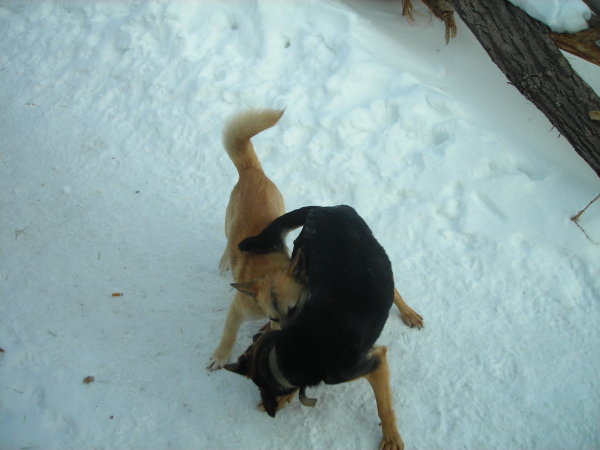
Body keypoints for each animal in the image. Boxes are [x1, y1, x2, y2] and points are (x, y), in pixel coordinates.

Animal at [207, 109, 307, 371]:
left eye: (294, 310)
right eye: (273, 316)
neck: (267, 268)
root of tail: (253, 172)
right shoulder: (238, 310)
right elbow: (229, 335)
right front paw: (220, 356)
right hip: (229, 222)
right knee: (227, 243)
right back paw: (224, 262)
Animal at [226, 205, 423, 450]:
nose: (269, 405)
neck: (294, 350)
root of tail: (326, 208)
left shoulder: (373, 363)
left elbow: (384, 407)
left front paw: (391, 436)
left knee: (393, 289)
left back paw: (408, 312)